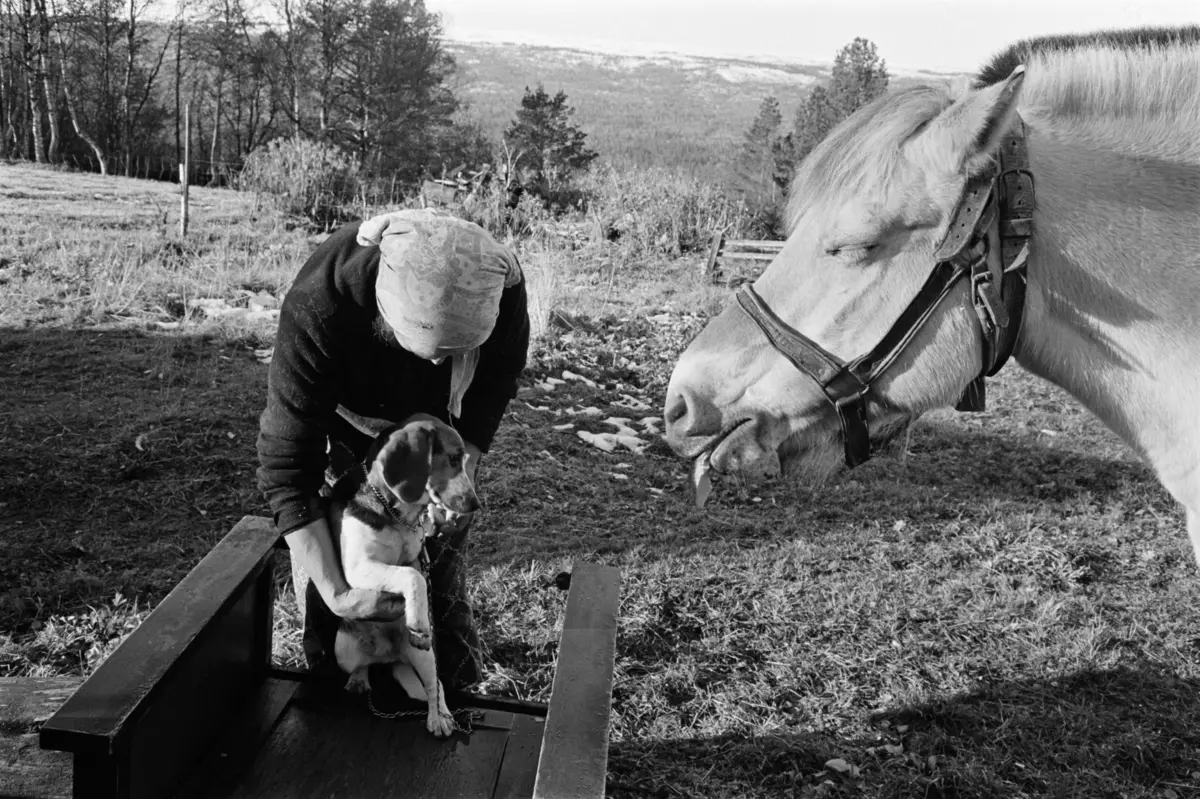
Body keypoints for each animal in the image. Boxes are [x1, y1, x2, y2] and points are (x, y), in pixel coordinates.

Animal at [331, 412, 480, 739]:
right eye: (453, 458)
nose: (475, 504)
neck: (398, 516)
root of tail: (390, 656)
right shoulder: (358, 568)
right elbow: (413, 577)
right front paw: (417, 615)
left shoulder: (414, 557)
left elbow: (414, 574)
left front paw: (418, 621)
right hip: (342, 652)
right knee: (362, 665)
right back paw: (359, 679)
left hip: (424, 657)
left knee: (436, 685)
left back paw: (440, 717)